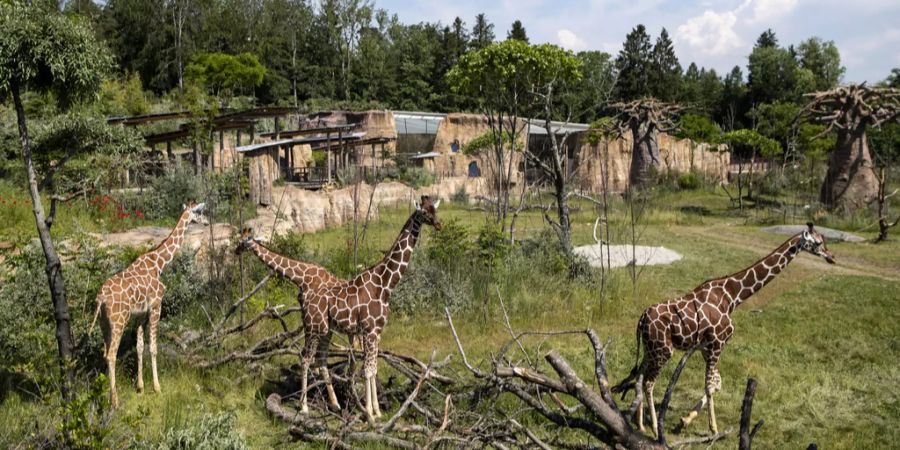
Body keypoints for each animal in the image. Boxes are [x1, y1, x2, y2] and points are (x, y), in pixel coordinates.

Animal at [87, 202, 207, 406]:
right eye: (199, 212)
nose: (206, 222)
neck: (159, 263)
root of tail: (100, 298)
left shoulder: (140, 315)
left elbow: (140, 348)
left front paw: (141, 387)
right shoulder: (156, 306)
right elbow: (153, 348)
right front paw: (157, 387)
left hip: (104, 323)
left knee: (105, 352)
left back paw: (105, 395)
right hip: (119, 321)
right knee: (111, 354)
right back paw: (115, 401)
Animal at [302, 195, 442, 420]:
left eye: (434, 210)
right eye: (423, 212)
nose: (438, 224)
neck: (384, 284)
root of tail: (305, 299)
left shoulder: (377, 331)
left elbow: (373, 368)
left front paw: (376, 411)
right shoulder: (369, 330)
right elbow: (367, 370)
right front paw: (369, 413)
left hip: (325, 330)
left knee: (318, 360)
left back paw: (334, 405)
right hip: (312, 328)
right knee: (305, 358)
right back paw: (304, 407)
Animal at [612, 224, 836, 436]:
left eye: (824, 240)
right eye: (817, 243)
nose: (832, 257)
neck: (732, 296)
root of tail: (642, 319)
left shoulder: (706, 347)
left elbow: (717, 383)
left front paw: (686, 420)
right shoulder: (717, 343)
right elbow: (710, 386)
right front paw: (713, 429)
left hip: (651, 350)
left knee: (640, 377)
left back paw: (641, 425)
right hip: (664, 351)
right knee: (649, 383)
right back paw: (655, 428)